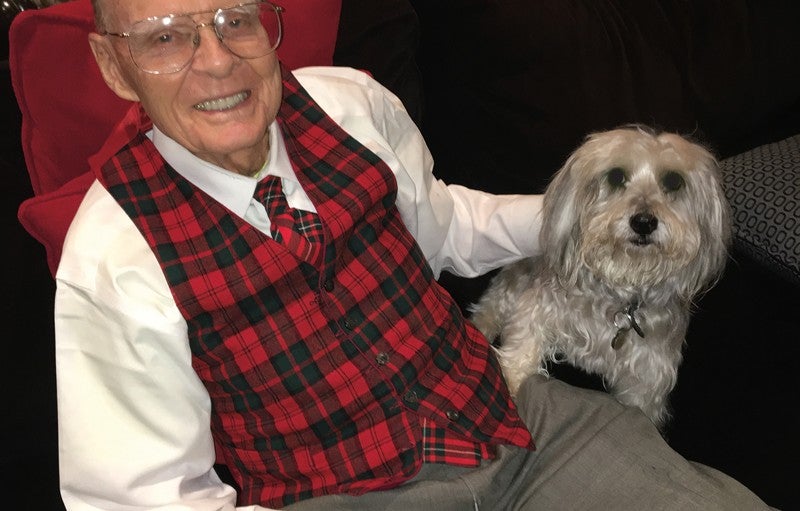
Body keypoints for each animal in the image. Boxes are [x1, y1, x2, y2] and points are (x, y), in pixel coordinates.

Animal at [468, 126, 732, 430]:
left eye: (674, 180)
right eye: (616, 176)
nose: (643, 222)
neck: (622, 291)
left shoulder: (647, 378)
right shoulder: (536, 310)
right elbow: (521, 353)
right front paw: (508, 386)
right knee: (487, 311)